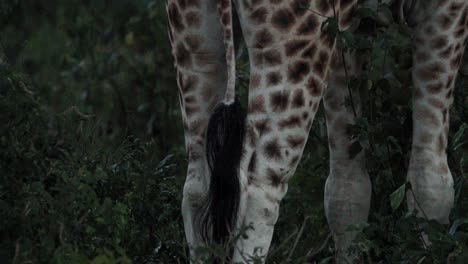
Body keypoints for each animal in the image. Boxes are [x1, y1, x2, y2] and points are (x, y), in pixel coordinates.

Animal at [165, 0, 464, 262]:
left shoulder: (348, 27)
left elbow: (346, 191)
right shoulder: (446, 9)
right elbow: (431, 184)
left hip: (194, 41)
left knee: (197, 189)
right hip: (295, 49)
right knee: (257, 191)